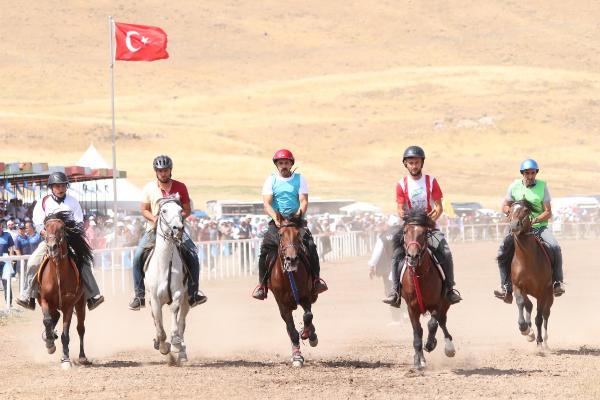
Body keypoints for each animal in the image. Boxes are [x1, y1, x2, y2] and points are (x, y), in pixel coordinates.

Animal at [38, 211, 94, 370]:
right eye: (45, 228)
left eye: (62, 228)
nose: (52, 247)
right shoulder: (44, 300)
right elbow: (47, 320)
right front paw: (50, 343)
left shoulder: (69, 305)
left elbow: (65, 334)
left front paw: (65, 359)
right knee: (54, 317)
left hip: (80, 304)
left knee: (80, 328)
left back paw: (82, 357)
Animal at [144, 197, 189, 366]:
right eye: (163, 211)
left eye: (180, 210)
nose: (178, 228)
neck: (164, 265)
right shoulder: (155, 299)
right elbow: (159, 327)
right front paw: (163, 347)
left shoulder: (178, 294)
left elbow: (175, 320)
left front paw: (175, 344)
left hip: (187, 300)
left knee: (182, 322)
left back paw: (181, 351)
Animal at [270, 214, 322, 368]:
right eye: (280, 234)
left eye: (298, 234)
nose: (291, 258)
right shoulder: (282, 304)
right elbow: (291, 331)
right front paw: (297, 357)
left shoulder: (305, 297)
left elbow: (308, 316)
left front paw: (309, 335)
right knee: (289, 329)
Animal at [400, 208, 458, 370]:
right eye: (405, 231)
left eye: (424, 232)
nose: (412, 256)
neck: (419, 275)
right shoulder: (411, 308)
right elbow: (417, 332)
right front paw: (418, 361)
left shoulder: (437, 303)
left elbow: (432, 324)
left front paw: (430, 344)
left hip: (446, 302)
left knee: (442, 322)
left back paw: (449, 347)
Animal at [502, 200, 552, 346]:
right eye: (510, 211)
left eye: (526, 210)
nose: (514, 225)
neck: (527, 259)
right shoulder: (518, 286)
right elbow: (521, 303)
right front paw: (524, 328)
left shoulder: (542, 292)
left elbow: (539, 317)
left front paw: (539, 342)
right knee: (529, 306)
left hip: (550, 295)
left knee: (546, 314)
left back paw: (544, 341)